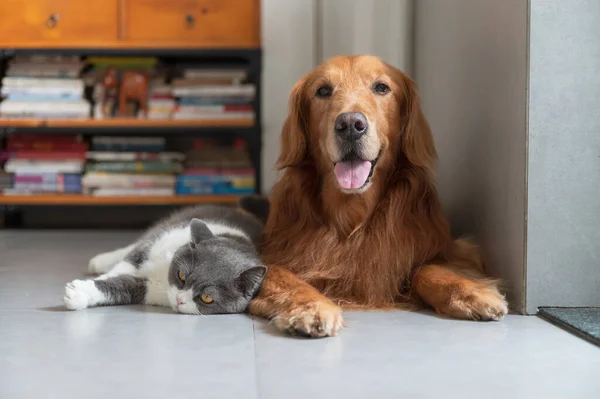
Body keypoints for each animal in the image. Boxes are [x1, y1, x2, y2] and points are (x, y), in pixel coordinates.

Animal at [63, 198, 268, 316]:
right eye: (182, 275)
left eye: (207, 298)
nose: (179, 299)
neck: (162, 272)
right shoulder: (151, 245)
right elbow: (126, 264)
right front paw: (93, 281)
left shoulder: (146, 289)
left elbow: (124, 286)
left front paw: (79, 293)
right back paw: (98, 262)